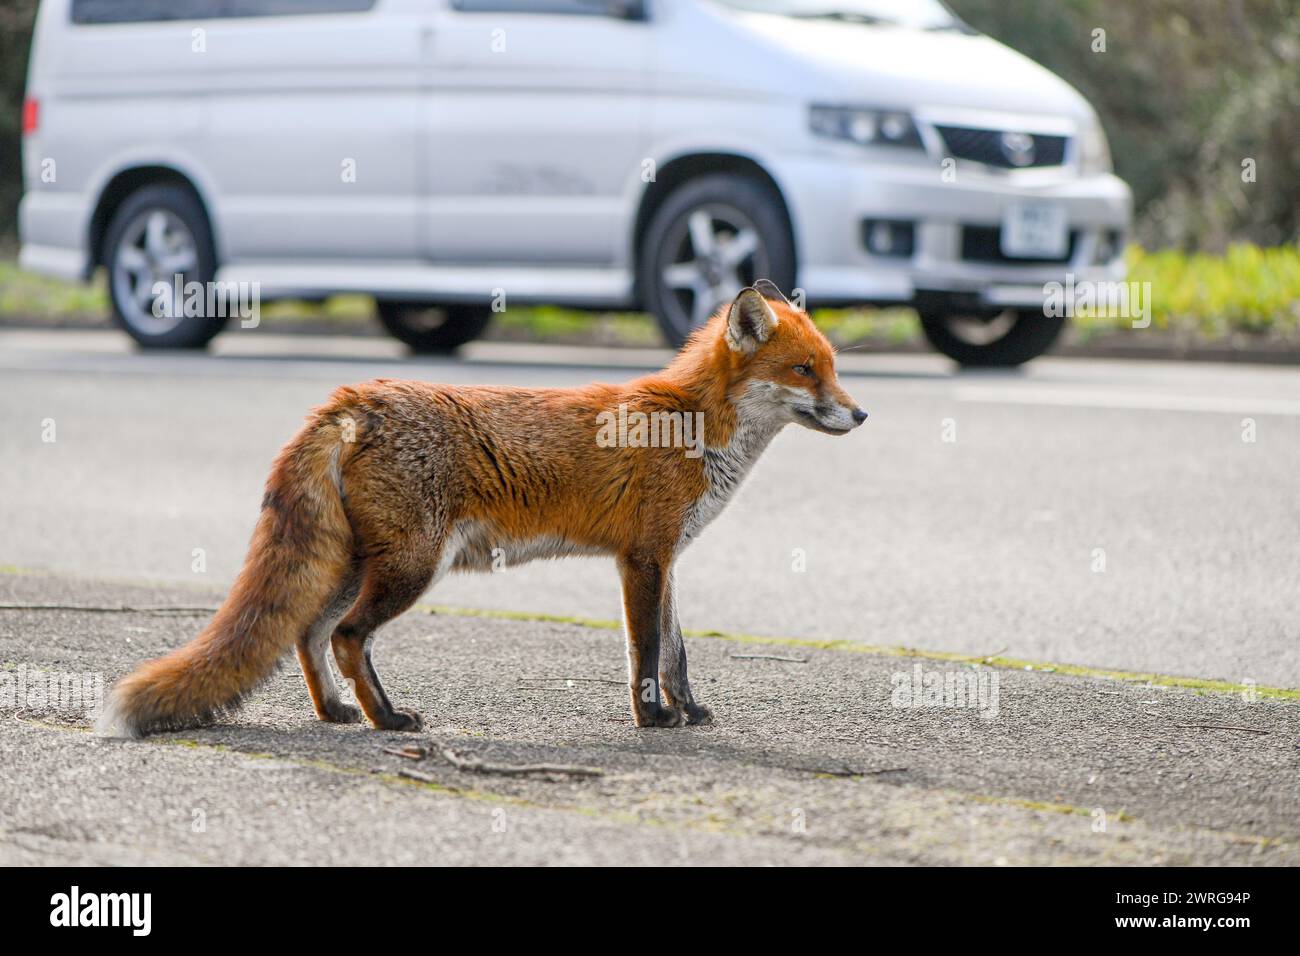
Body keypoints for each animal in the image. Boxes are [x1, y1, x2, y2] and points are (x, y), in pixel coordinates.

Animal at [96, 284, 866, 738]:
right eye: (805, 371)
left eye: (834, 367)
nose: (861, 414)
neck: (689, 427)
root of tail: (351, 399)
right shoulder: (642, 558)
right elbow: (647, 652)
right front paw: (652, 718)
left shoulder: (665, 558)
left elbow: (676, 650)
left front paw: (689, 710)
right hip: (410, 568)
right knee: (345, 636)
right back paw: (388, 719)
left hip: (357, 565)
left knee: (307, 635)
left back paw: (339, 712)